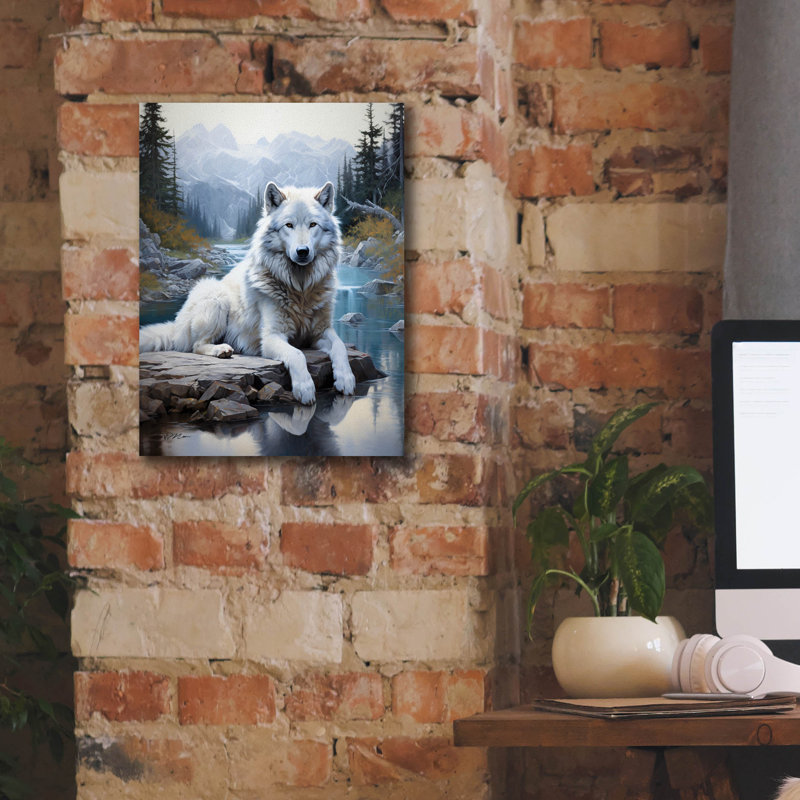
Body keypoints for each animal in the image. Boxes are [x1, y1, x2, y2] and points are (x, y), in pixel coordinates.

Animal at [139, 181, 355, 405]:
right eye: (289, 225)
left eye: (313, 225)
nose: (302, 251)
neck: (300, 288)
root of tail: (177, 326)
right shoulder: (271, 337)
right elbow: (297, 354)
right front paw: (305, 388)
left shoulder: (321, 332)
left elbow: (340, 347)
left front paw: (346, 379)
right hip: (216, 298)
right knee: (196, 345)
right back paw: (221, 350)